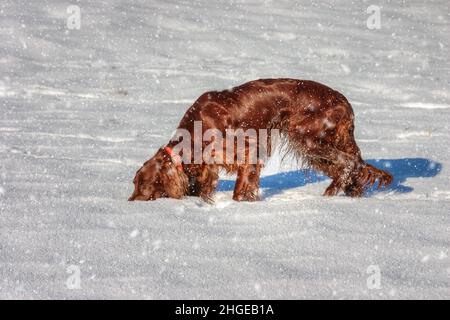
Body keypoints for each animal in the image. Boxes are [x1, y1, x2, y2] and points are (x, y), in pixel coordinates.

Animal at [128, 78, 392, 201]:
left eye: (142, 183)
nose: (130, 202)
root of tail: (345, 102)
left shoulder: (247, 151)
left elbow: (239, 190)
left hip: (308, 140)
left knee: (349, 162)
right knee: (350, 168)